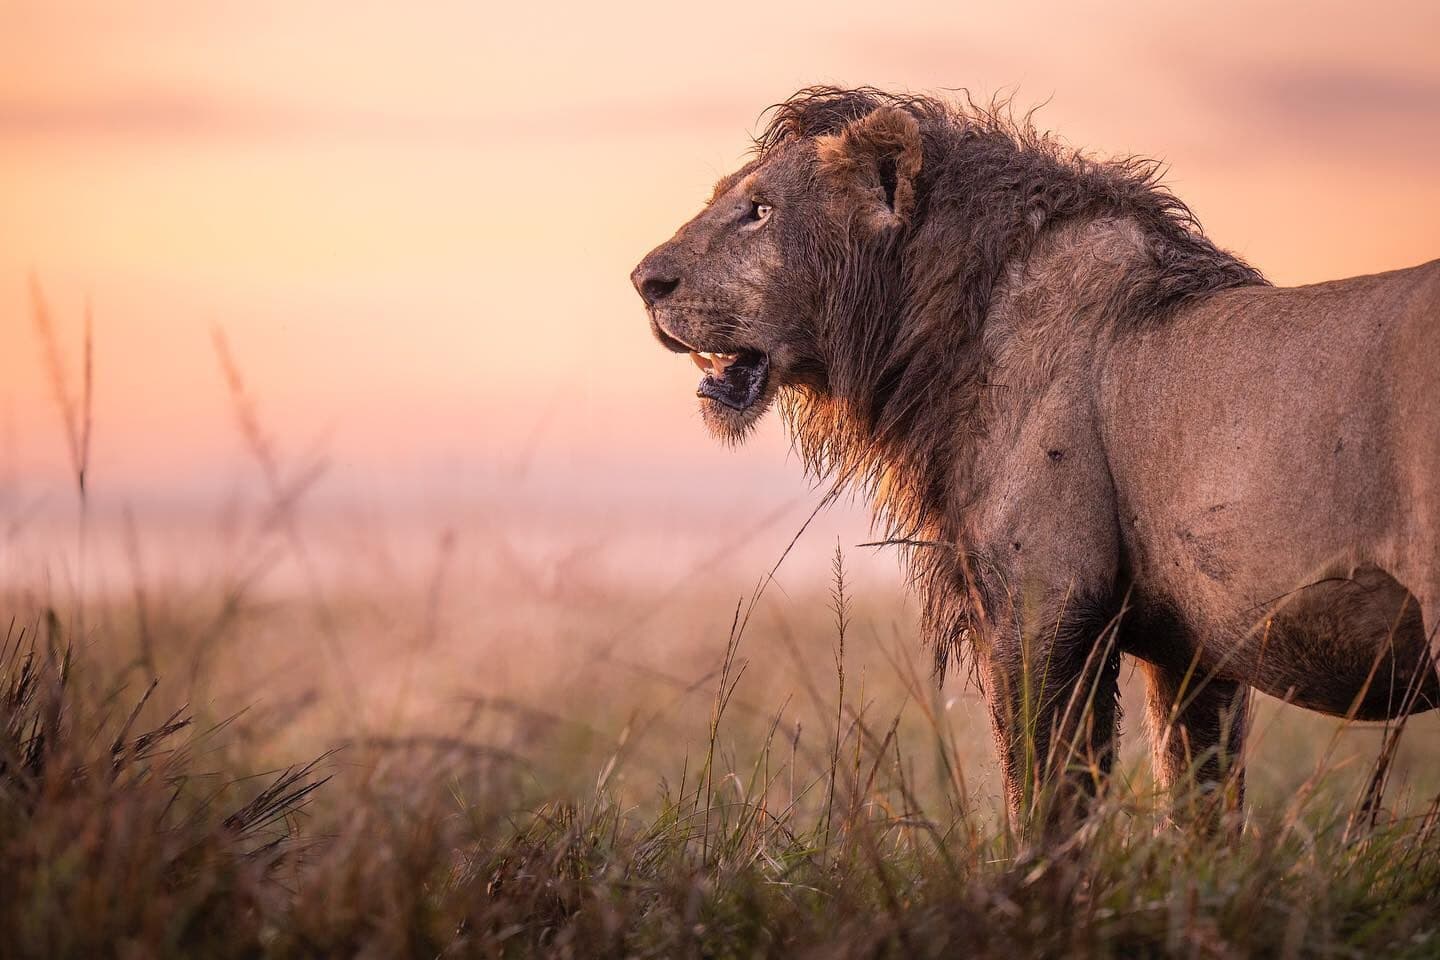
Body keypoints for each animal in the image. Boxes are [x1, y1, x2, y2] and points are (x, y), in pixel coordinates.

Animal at [631, 86, 1440, 830]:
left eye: (760, 210)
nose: (643, 281)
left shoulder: (1044, 600)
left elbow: (1046, 803)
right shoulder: (1194, 649)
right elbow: (1198, 807)